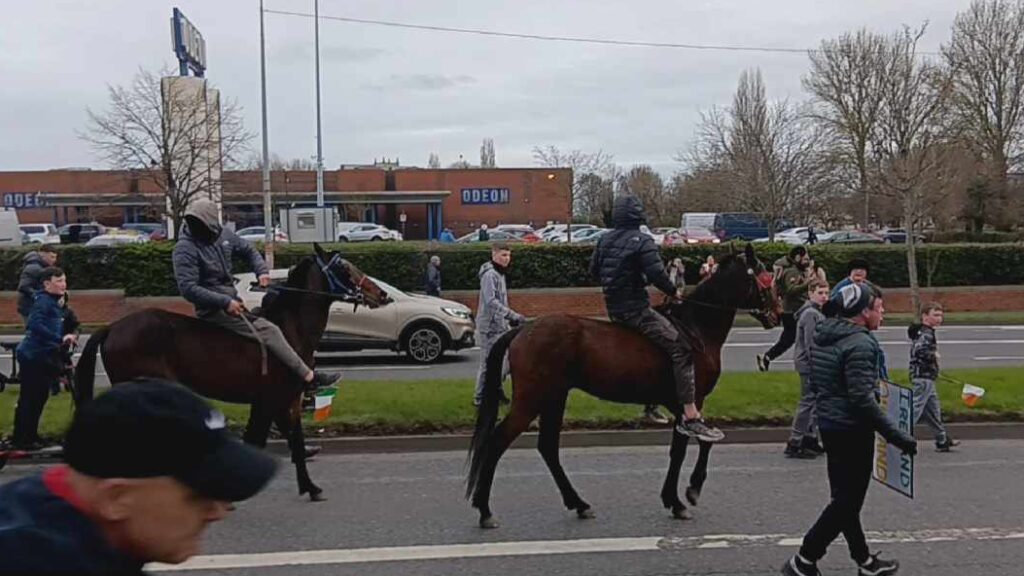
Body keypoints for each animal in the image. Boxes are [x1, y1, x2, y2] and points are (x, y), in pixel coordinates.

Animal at [73, 241, 391, 498]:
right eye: (344, 266)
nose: (382, 294)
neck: (290, 329)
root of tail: (113, 327)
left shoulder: (285, 400)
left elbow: (295, 440)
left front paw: (310, 487)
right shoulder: (270, 400)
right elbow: (259, 440)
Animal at [468, 240, 778, 524]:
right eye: (766, 276)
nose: (776, 312)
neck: (696, 328)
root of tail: (523, 330)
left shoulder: (678, 404)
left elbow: (682, 448)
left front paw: (674, 497)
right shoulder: (690, 400)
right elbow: (694, 445)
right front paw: (687, 493)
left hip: (554, 396)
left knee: (548, 447)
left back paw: (578, 503)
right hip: (532, 399)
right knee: (497, 442)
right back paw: (484, 509)